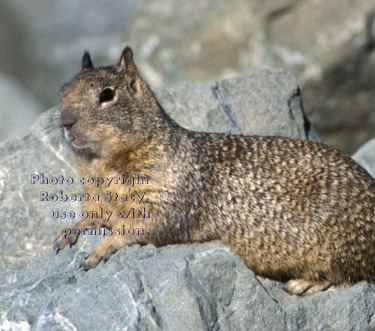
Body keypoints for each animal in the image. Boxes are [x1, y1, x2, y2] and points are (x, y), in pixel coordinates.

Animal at [54, 46, 375, 296]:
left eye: (107, 94)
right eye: (63, 91)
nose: (66, 122)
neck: (103, 164)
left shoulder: (163, 197)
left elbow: (136, 226)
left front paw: (101, 248)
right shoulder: (94, 194)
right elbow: (94, 215)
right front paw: (70, 230)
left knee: (345, 274)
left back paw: (302, 283)